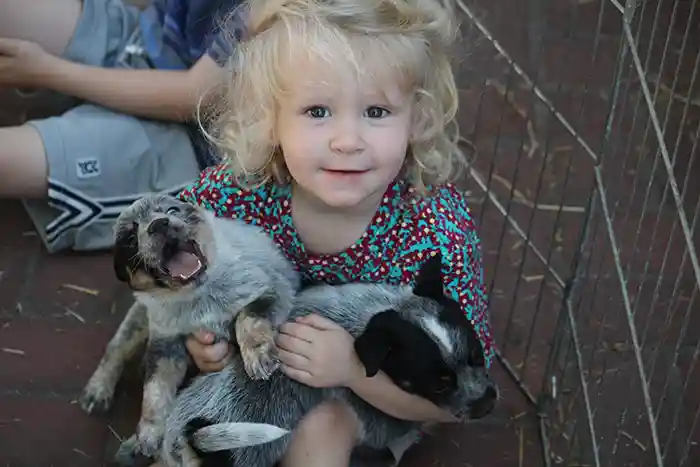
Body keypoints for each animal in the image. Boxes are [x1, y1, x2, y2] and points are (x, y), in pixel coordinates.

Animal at [77, 193, 300, 464]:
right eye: (130, 237)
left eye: (172, 210)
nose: (159, 224)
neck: (196, 295)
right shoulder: (165, 342)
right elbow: (155, 389)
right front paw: (149, 433)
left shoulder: (271, 290)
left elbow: (247, 319)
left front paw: (257, 355)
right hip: (140, 318)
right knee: (116, 347)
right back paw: (98, 393)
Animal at [159, 254, 498, 467]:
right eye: (439, 384)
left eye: (477, 354)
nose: (486, 404)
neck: (371, 313)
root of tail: (186, 438)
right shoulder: (377, 421)